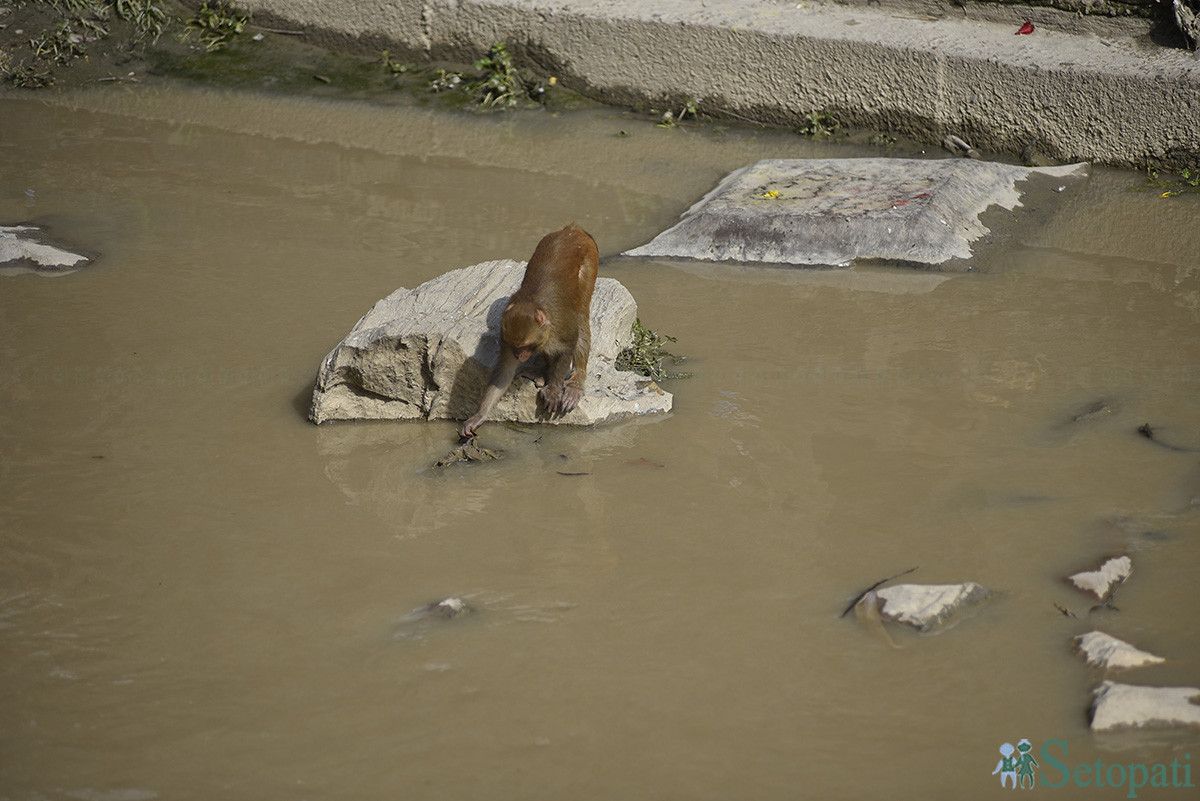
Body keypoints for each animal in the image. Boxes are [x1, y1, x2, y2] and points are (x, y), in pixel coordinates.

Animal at [460, 221, 597, 438]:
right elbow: (505, 372)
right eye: (516, 347)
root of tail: (572, 230)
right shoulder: (506, 335)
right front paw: (478, 416)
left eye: (525, 347)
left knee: (582, 315)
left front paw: (554, 389)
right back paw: (543, 371)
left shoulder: (562, 328)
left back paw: (576, 381)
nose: (520, 355)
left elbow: (568, 346)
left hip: (589, 259)